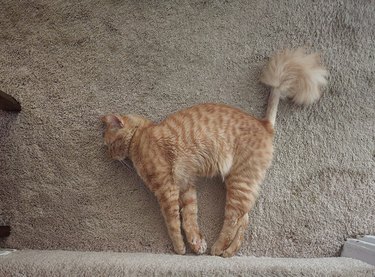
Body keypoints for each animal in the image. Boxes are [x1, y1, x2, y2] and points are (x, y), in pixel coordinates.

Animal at [102, 48, 328, 256]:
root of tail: (264, 124)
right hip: (241, 184)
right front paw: (196, 243)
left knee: (234, 220)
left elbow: (173, 222)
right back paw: (228, 252)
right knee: (244, 220)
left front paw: (179, 248)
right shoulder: (186, 186)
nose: (109, 156)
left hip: (240, 183)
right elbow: (190, 219)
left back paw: (217, 248)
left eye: (109, 145)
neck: (140, 136)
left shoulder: (167, 189)